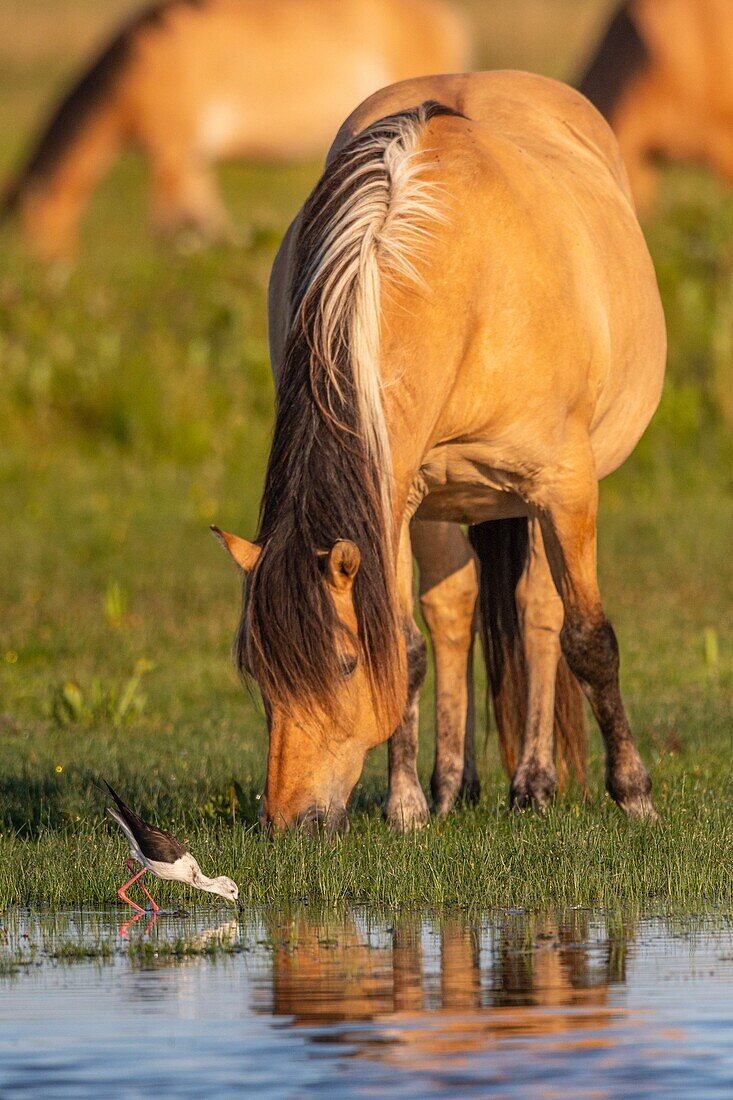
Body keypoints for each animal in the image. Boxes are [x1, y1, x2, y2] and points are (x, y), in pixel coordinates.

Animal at [0, 0, 468, 257]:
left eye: (35, 231)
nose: (52, 286)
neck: (143, 63)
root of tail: (446, 18)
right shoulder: (194, 161)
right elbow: (205, 229)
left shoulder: (170, 157)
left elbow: (172, 232)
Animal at [215, 70, 660, 831]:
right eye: (256, 668)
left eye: (341, 664)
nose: (290, 822)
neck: (467, 287)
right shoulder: (393, 498)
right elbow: (407, 645)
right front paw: (407, 806)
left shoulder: (565, 487)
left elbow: (587, 638)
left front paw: (633, 794)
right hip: (443, 505)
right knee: (454, 613)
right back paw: (455, 785)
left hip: (536, 502)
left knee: (539, 614)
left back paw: (534, 784)